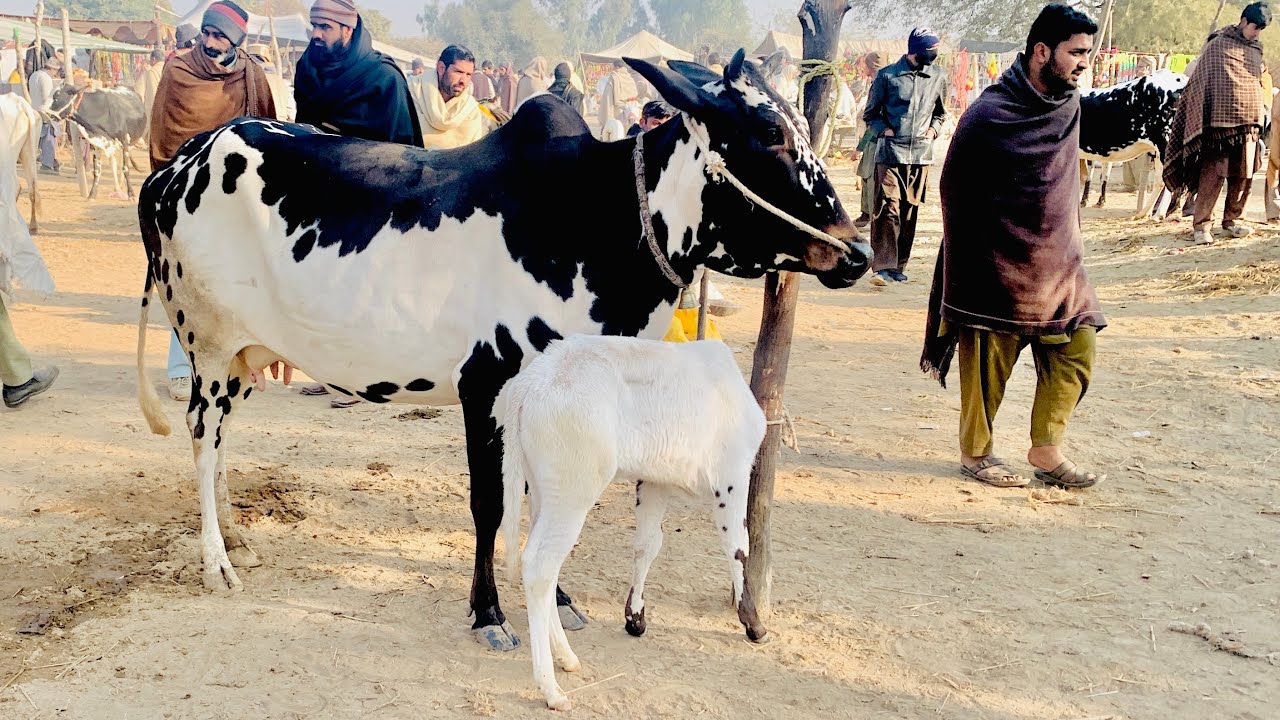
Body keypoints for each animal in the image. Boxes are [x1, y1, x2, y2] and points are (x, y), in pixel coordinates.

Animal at [1, 94, 41, 234]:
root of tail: (20, 103)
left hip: (8, 155)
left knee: (15, 186)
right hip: (28, 150)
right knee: (32, 187)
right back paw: (33, 226)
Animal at [134, 50, 870, 653]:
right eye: (769, 135)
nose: (857, 250)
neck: (594, 219)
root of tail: (176, 166)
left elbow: (544, 503)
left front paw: (559, 600)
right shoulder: (485, 387)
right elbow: (491, 503)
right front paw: (489, 613)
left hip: (243, 357)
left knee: (220, 441)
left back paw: (237, 536)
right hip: (207, 348)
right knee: (202, 439)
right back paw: (217, 561)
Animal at [501, 335, 768, 710]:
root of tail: (529, 382)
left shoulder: (654, 481)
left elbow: (647, 545)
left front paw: (635, 618)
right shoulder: (732, 474)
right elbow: (738, 547)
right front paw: (753, 623)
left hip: (543, 493)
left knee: (544, 567)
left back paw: (567, 658)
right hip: (572, 492)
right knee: (540, 566)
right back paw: (551, 689)